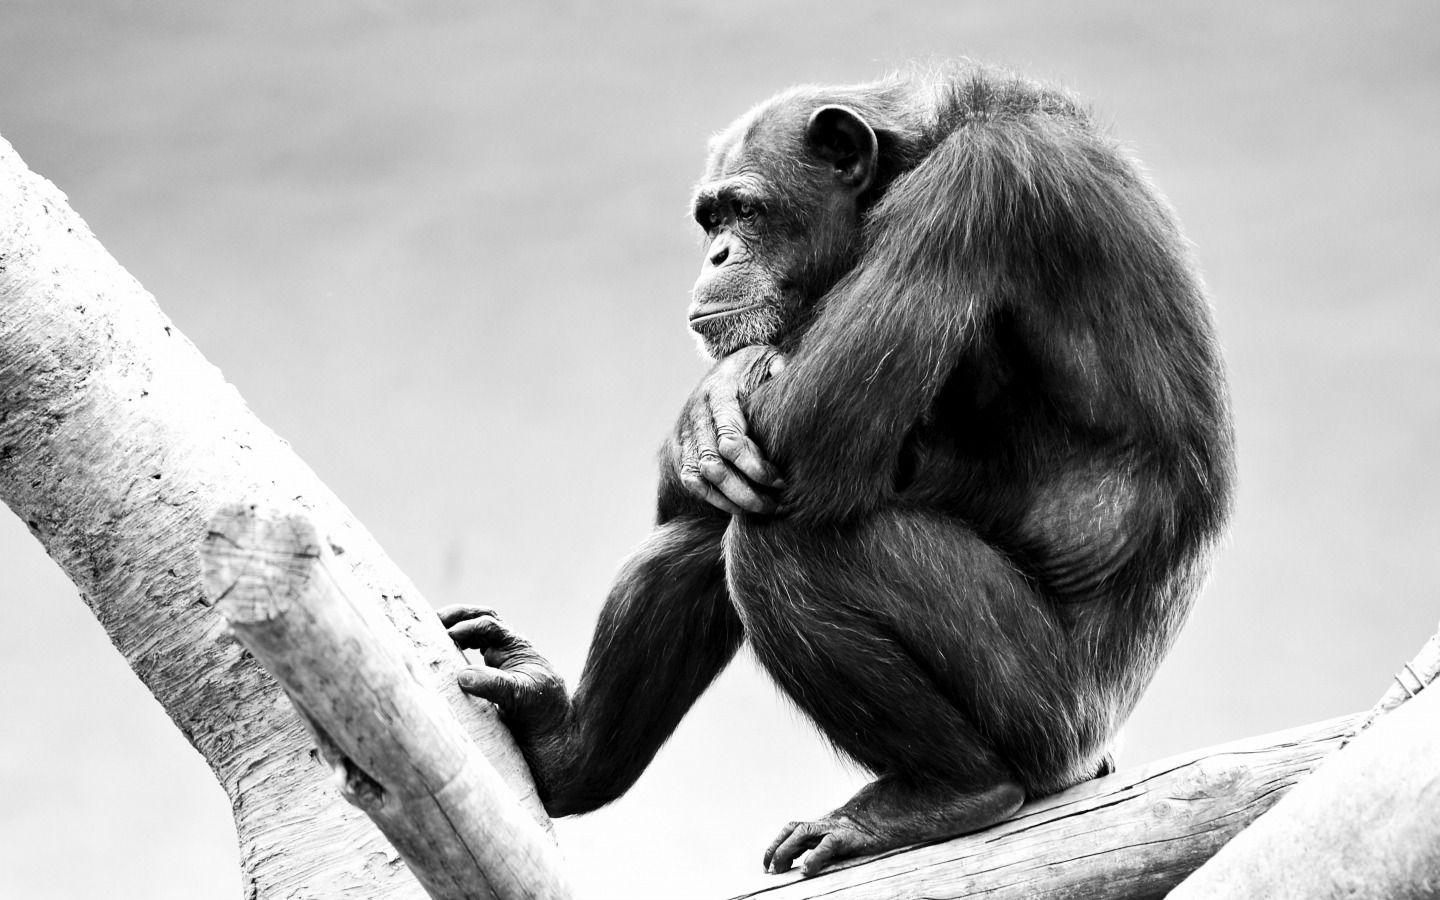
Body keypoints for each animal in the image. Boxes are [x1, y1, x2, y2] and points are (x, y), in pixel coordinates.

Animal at [441, 62, 1234, 877]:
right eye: (710, 219)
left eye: (746, 210)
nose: (717, 257)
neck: (915, 155)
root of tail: (1093, 754)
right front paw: (711, 408)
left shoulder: (978, 191)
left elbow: (813, 438)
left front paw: (722, 394)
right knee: (703, 531)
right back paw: (563, 751)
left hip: (1042, 712)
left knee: (783, 543)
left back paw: (949, 790)